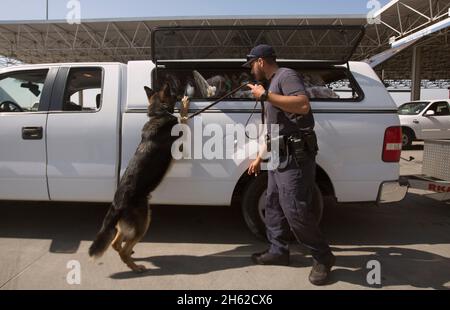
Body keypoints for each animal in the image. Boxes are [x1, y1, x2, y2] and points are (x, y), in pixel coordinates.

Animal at [88, 83, 179, 272]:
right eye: (174, 94)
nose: (181, 95)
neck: (158, 113)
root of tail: (116, 204)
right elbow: (185, 118)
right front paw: (186, 107)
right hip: (143, 222)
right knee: (122, 248)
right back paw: (135, 267)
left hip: (127, 225)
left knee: (116, 244)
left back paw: (131, 258)